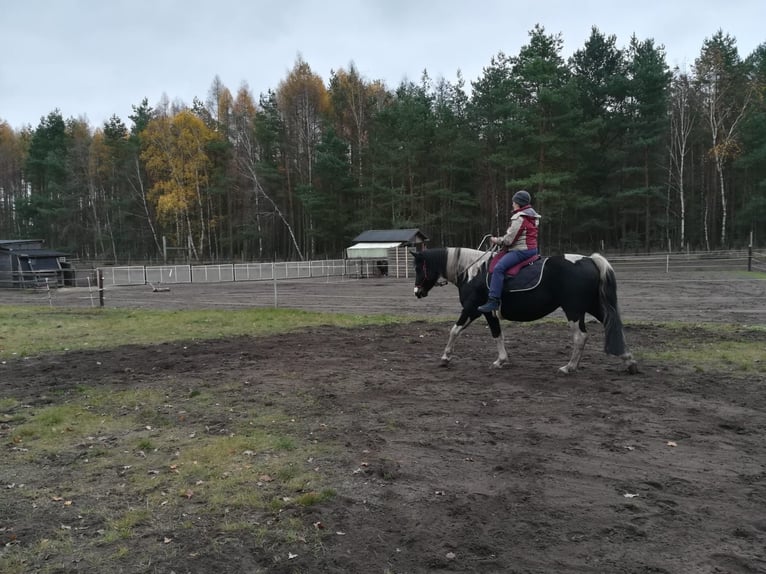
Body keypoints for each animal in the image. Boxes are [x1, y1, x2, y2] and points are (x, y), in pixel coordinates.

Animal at [411, 247, 638, 374]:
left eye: (418, 267)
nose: (416, 292)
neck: (473, 271)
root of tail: (590, 259)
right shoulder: (488, 312)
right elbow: (497, 334)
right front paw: (501, 360)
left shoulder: (473, 309)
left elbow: (455, 330)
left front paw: (445, 357)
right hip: (593, 306)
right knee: (614, 325)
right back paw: (629, 362)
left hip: (573, 310)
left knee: (580, 337)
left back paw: (569, 367)